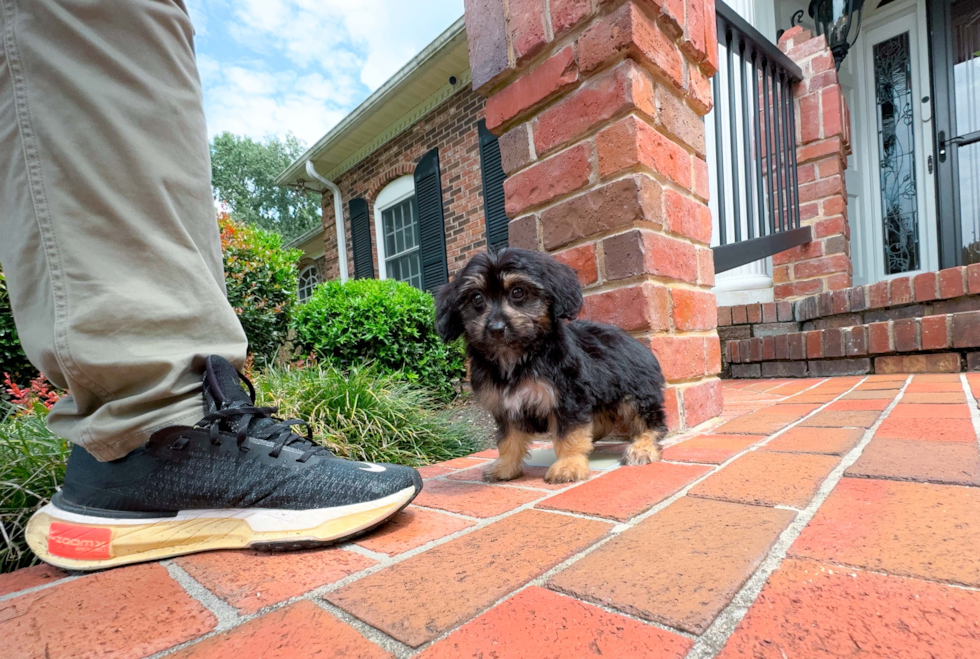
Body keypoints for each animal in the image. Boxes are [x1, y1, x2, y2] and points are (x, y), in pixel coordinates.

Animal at [434, 248, 668, 484]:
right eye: (476, 297)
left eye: (518, 292)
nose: (496, 329)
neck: (519, 357)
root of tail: (636, 342)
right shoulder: (506, 405)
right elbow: (508, 439)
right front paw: (505, 467)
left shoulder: (568, 397)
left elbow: (569, 434)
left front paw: (568, 465)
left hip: (636, 393)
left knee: (651, 422)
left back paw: (642, 448)